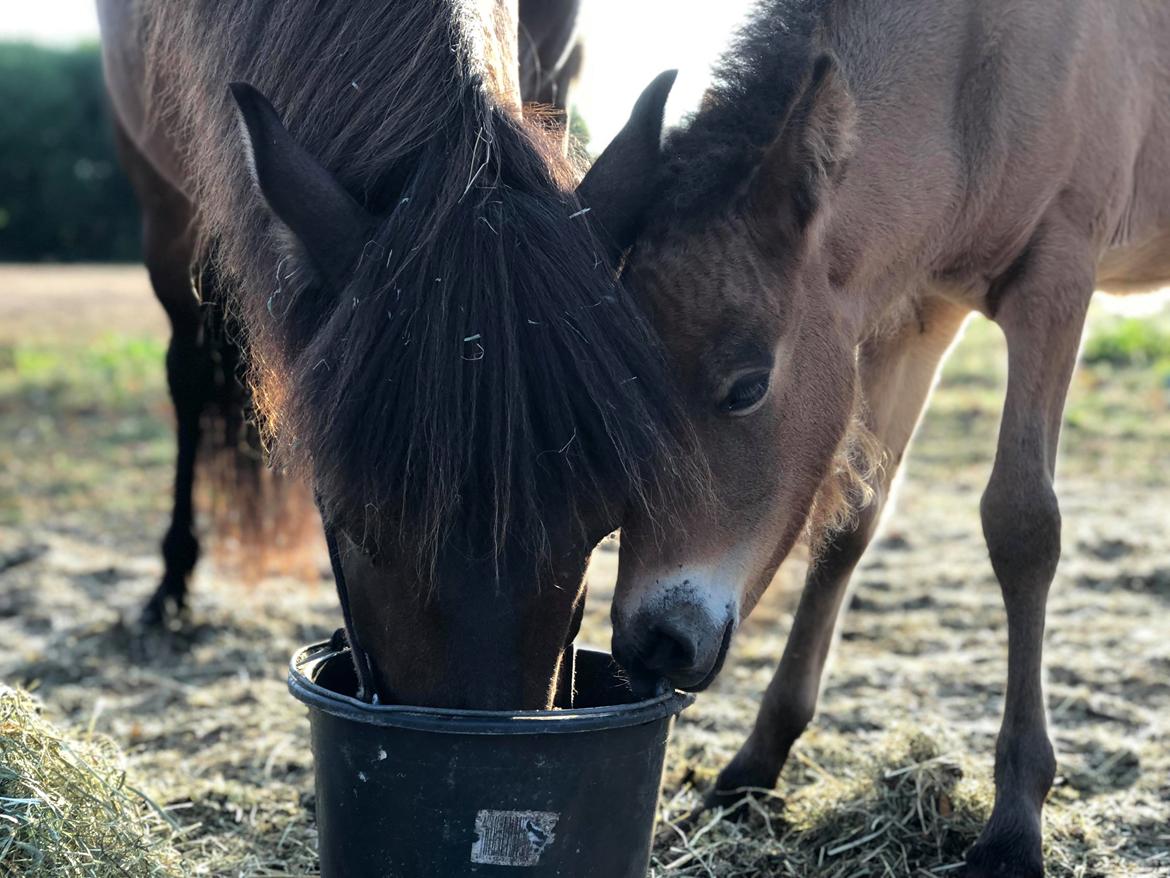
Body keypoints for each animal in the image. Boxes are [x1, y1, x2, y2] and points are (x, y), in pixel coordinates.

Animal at [582, 1, 1170, 878]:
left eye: (748, 385)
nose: (652, 643)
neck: (975, 74)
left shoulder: (1058, 277)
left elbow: (1023, 523)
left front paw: (1015, 821)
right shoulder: (918, 305)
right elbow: (853, 519)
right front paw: (755, 763)